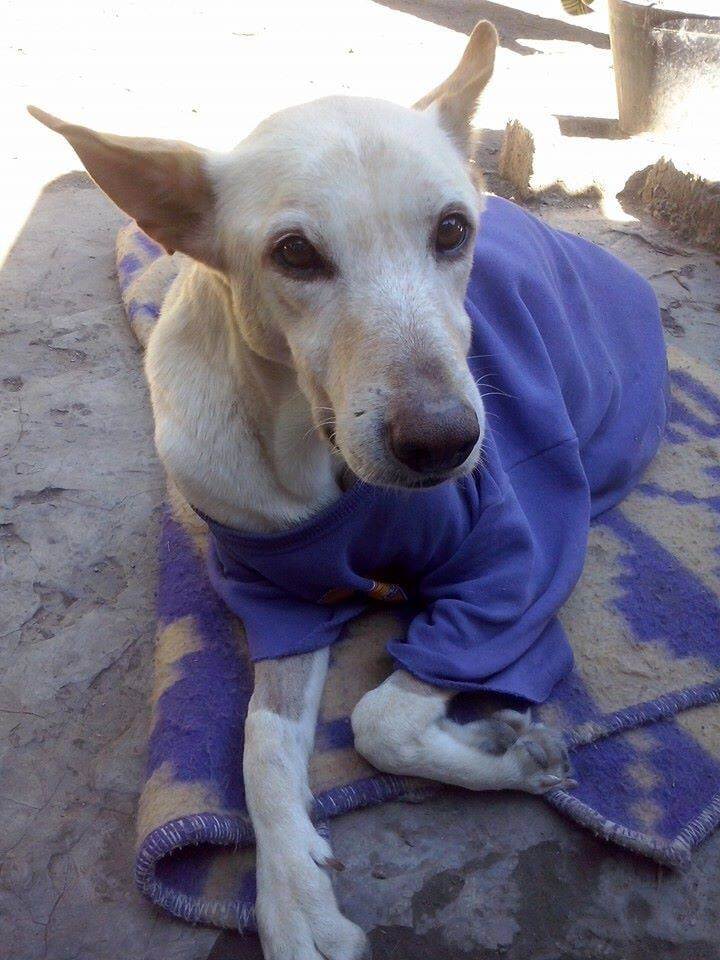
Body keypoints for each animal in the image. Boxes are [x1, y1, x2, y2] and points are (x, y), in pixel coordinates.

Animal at [29, 16, 668, 960]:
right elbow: (259, 745)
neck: (318, 453)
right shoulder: (277, 600)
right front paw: (293, 895)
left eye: (451, 231)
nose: (444, 443)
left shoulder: (515, 573)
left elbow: (379, 720)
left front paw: (505, 753)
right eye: (295, 253)